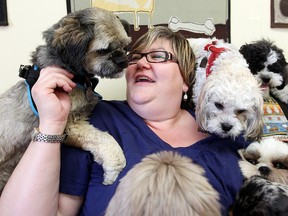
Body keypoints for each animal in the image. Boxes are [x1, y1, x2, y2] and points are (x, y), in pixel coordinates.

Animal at [0, 6, 132, 193]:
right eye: (103, 50)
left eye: (124, 46)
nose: (123, 61)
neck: (76, 74)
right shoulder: (71, 126)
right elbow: (106, 140)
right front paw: (114, 168)